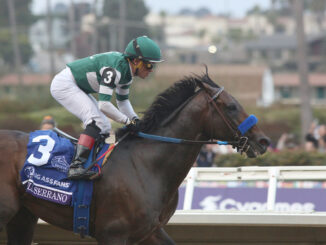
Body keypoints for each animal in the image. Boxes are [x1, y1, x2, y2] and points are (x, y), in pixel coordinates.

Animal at [0, 70, 270, 244]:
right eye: (231, 106)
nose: (263, 141)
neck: (147, 166)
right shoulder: (113, 234)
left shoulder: (149, 230)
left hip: (23, 216)